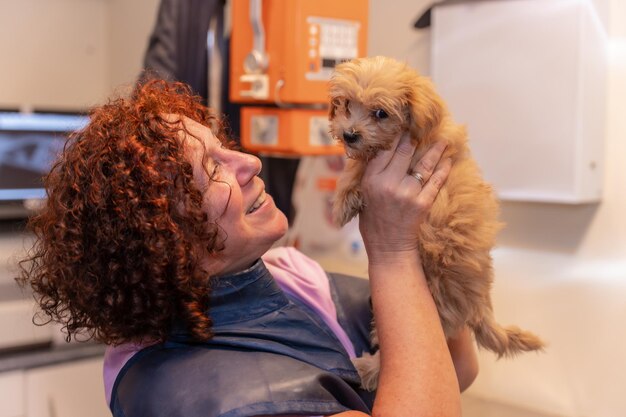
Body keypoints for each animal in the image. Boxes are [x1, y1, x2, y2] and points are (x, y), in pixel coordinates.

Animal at [326, 56, 540, 390]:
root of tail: (480, 300)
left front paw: (342, 201)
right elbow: (358, 165)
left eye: (380, 113)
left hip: (438, 297)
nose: (349, 134)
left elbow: (357, 168)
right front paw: (346, 199)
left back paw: (365, 368)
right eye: (347, 104)